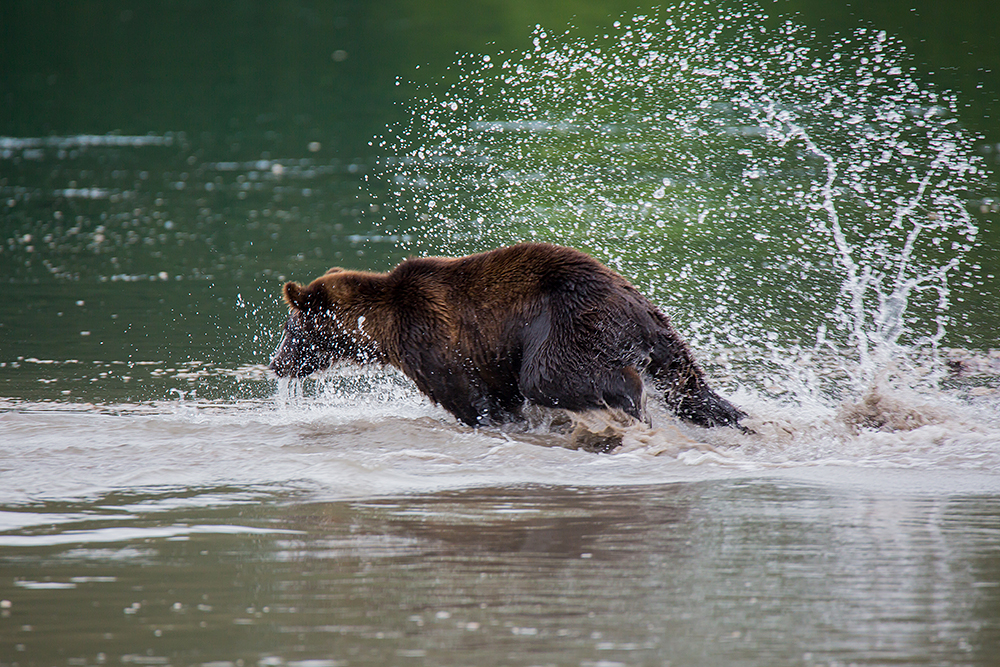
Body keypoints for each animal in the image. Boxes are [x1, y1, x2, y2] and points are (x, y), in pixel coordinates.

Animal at [270, 245, 748, 434]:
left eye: (290, 330)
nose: (275, 364)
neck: (380, 327)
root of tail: (636, 304)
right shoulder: (487, 355)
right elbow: (500, 395)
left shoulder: (434, 340)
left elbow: (470, 399)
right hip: (661, 336)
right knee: (689, 386)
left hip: (568, 321)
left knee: (550, 376)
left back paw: (630, 400)